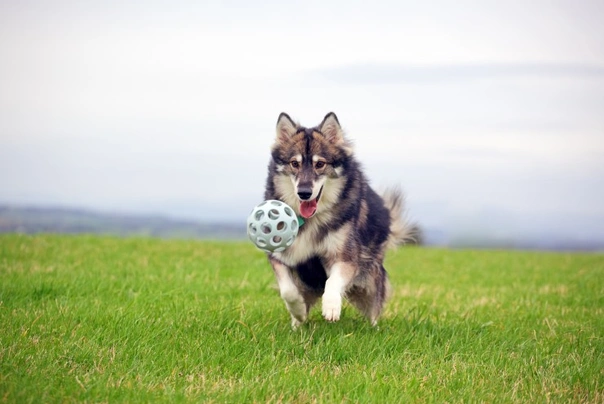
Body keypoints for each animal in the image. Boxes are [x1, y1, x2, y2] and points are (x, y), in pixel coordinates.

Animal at [264, 112, 410, 326]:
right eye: (294, 163)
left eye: (320, 164)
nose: (304, 193)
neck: (311, 219)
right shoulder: (280, 255)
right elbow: (288, 291)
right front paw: (298, 311)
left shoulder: (345, 258)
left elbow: (333, 281)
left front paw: (331, 306)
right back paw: (297, 324)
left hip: (369, 283)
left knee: (374, 308)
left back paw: (374, 328)